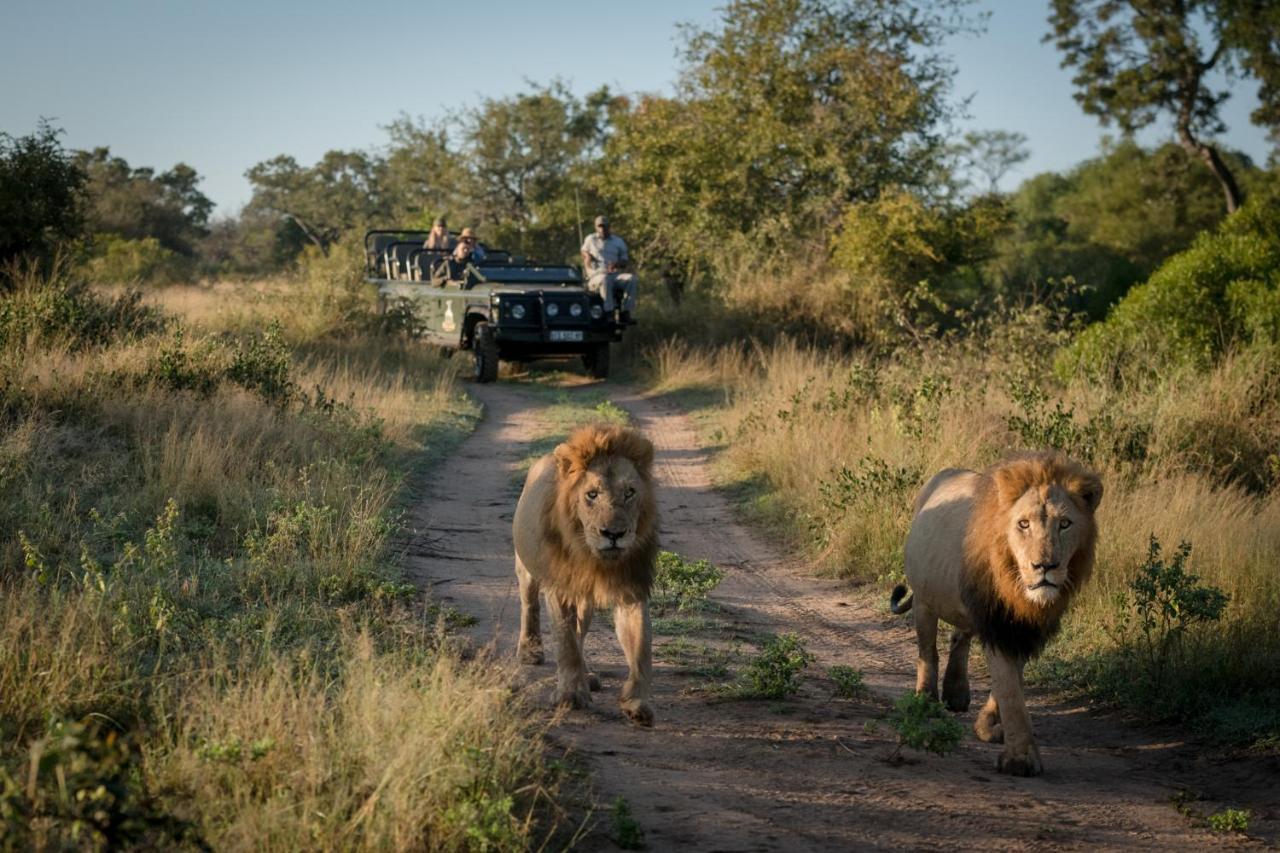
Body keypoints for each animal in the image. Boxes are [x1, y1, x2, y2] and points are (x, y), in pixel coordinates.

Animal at [509, 417, 660, 722]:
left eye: (630, 493)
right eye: (592, 494)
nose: (614, 534)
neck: (593, 557)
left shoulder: (631, 588)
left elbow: (641, 646)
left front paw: (637, 703)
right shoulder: (559, 588)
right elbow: (565, 643)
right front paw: (571, 695)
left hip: (585, 600)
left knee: (581, 630)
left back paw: (587, 675)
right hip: (526, 567)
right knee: (529, 604)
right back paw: (530, 651)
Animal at [890, 448, 1100, 773]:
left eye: (1065, 524)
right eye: (1023, 524)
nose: (1045, 567)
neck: (1019, 590)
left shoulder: (1024, 627)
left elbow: (1012, 680)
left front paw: (989, 726)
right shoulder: (998, 620)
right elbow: (1009, 687)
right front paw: (1020, 759)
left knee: (959, 638)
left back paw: (956, 694)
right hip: (925, 599)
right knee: (928, 651)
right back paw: (926, 701)